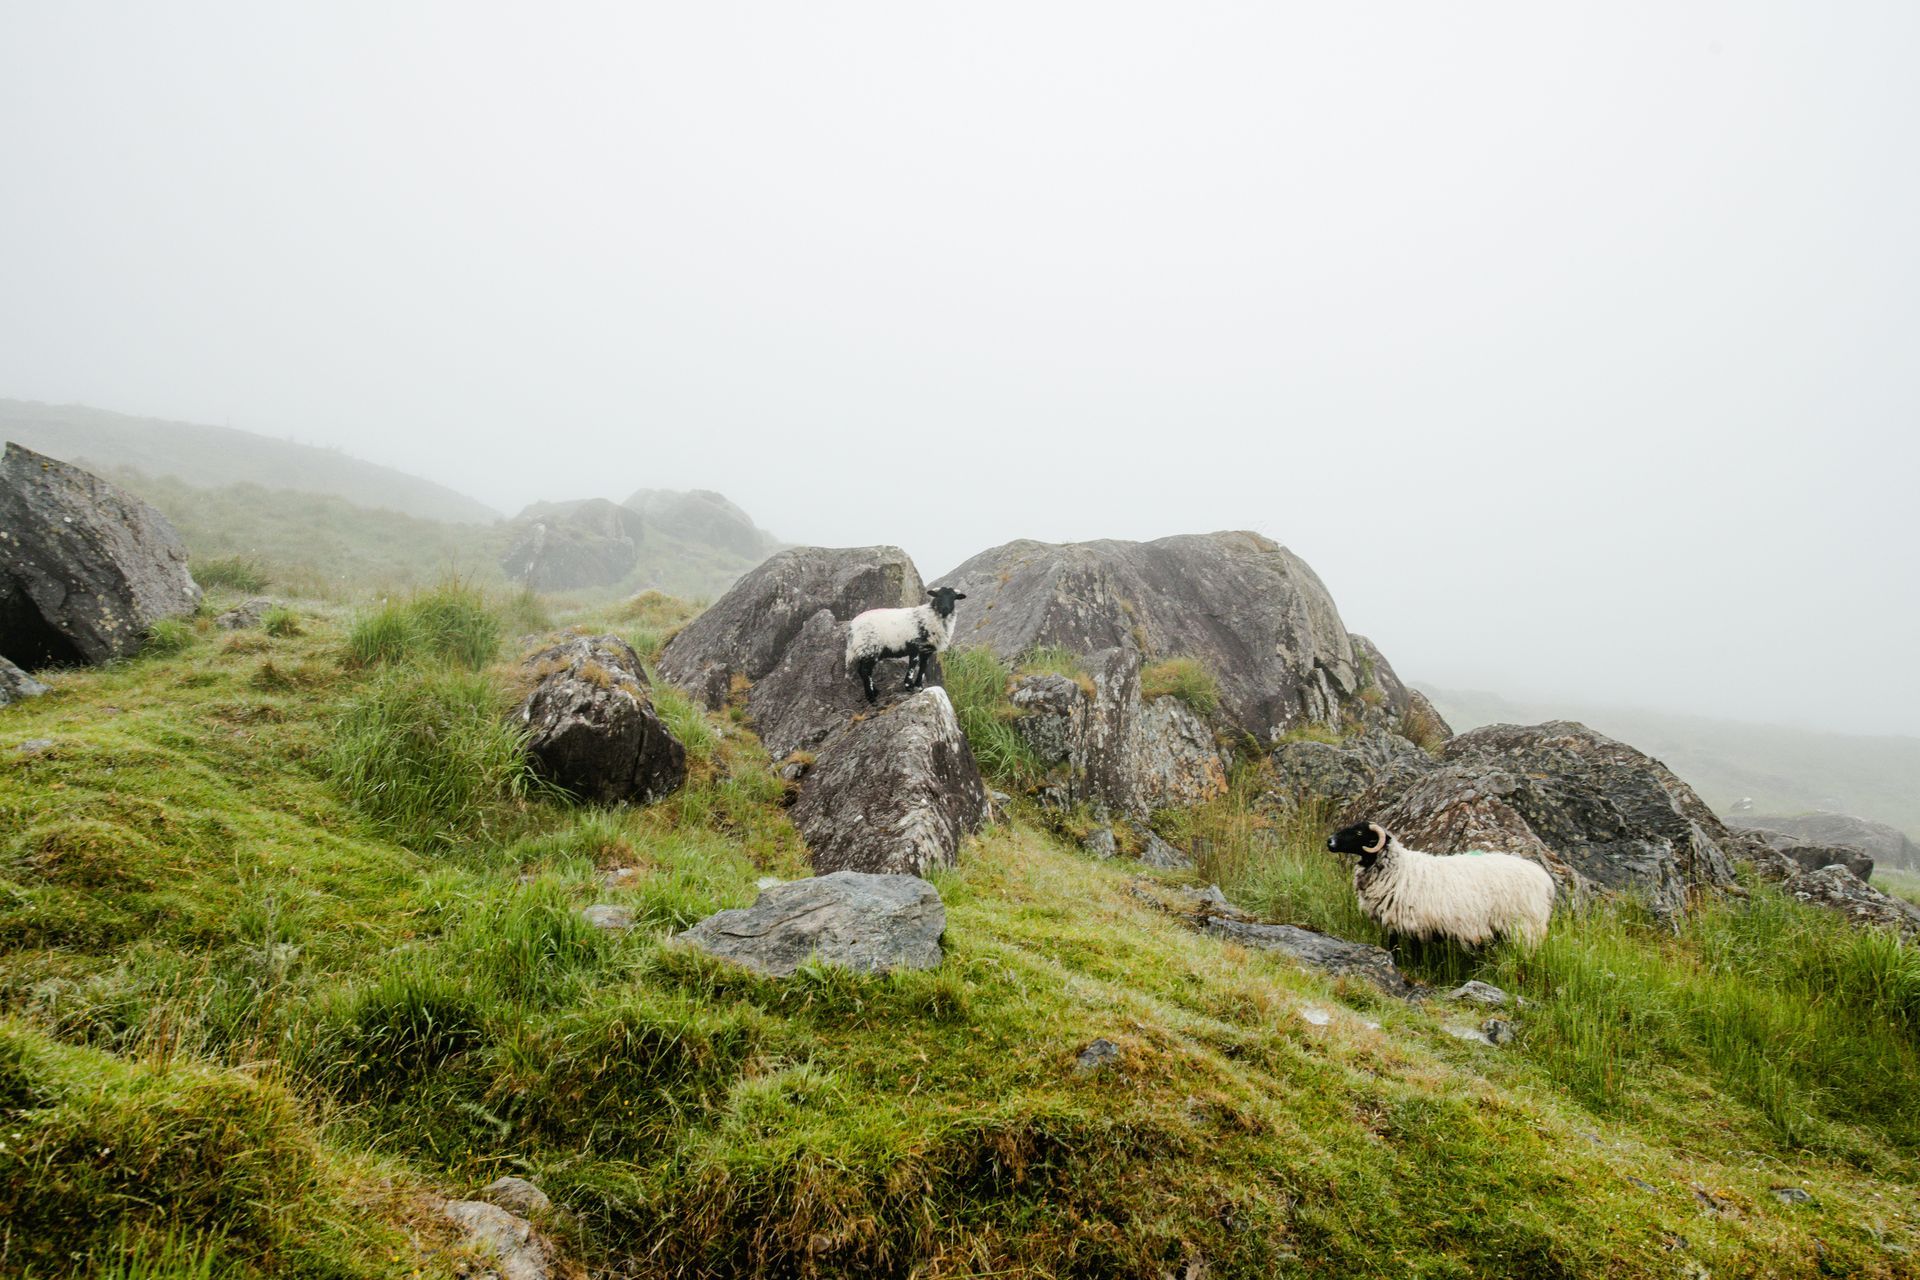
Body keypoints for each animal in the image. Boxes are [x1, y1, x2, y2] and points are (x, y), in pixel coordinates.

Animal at [1325, 821, 1555, 948]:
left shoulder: (1412, 923)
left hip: (1526, 927)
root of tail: (1545, 880)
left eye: (1359, 833)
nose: (1330, 841)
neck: (1398, 869)